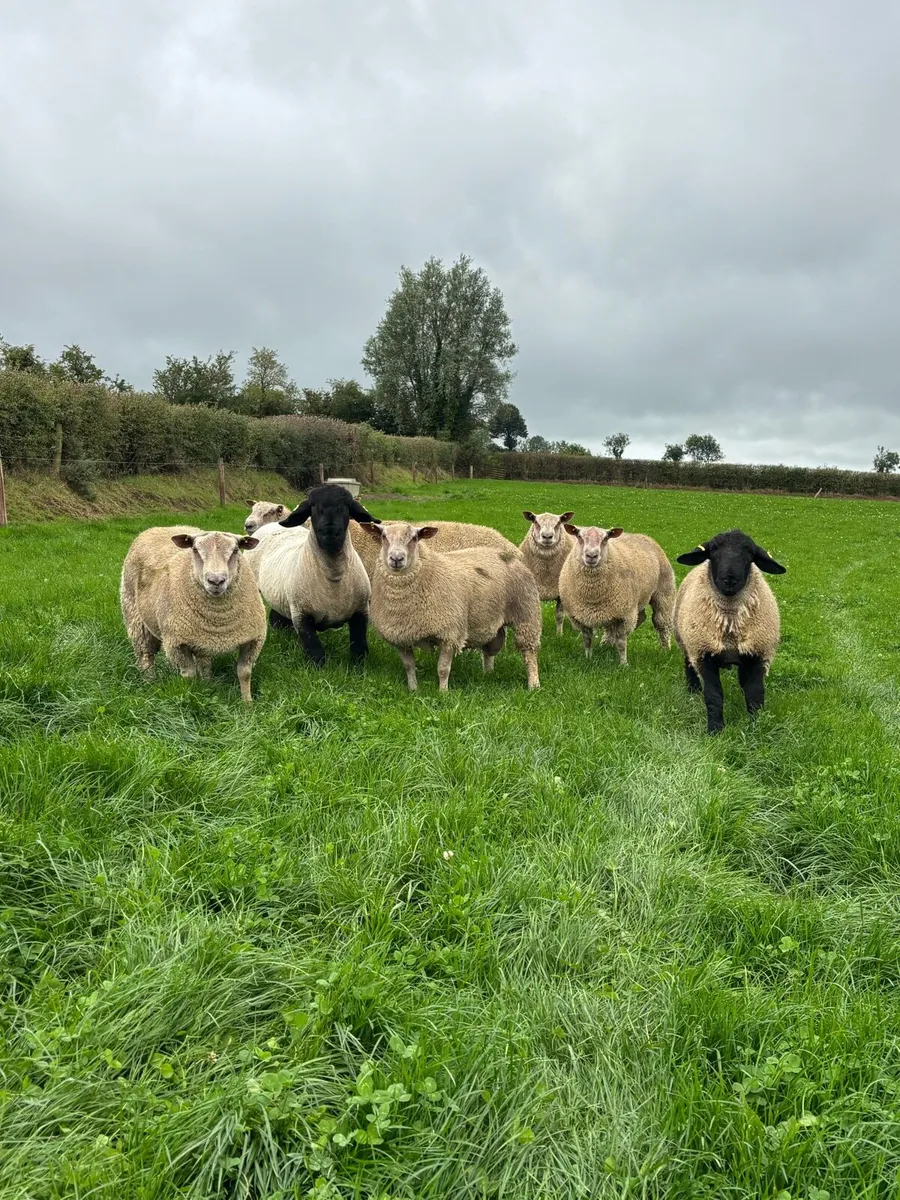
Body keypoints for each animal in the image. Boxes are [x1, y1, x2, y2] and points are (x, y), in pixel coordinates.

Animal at [120, 525, 266, 704]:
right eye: (195, 549)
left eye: (236, 550)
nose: (216, 581)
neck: (219, 621)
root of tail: (156, 528)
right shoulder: (176, 643)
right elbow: (189, 675)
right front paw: (190, 697)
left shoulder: (253, 639)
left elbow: (244, 673)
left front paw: (247, 703)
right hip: (134, 615)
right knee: (145, 654)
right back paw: (149, 682)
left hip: (201, 637)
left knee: (203, 661)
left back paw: (208, 683)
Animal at [253, 484, 381, 666]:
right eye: (312, 507)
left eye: (346, 506)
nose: (330, 532)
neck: (333, 575)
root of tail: (270, 526)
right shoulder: (301, 615)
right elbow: (315, 652)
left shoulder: (361, 611)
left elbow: (359, 647)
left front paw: (358, 668)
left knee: (277, 615)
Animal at [361, 521, 541, 692]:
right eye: (384, 537)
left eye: (414, 538)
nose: (397, 559)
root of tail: (508, 555)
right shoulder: (401, 638)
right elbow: (409, 667)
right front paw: (413, 690)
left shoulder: (449, 633)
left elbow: (443, 669)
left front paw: (443, 692)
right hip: (489, 619)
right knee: (490, 649)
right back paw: (488, 674)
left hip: (526, 613)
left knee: (529, 653)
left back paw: (533, 684)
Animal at [558, 524, 675, 665]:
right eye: (579, 537)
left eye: (605, 538)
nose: (591, 555)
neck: (592, 595)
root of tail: (644, 536)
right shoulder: (580, 617)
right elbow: (587, 640)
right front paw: (588, 658)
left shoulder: (625, 615)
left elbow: (621, 642)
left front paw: (623, 663)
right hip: (628, 604)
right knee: (636, 619)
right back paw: (606, 644)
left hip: (663, 593)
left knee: (662, 622)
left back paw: (665, 650)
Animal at [674, 529, 786, 734]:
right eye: (713, 550)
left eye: (750, 554)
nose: (729, 579)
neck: (730, 626)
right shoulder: (704, 653)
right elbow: (714, 695)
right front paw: (715, 730)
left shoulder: (757, 653)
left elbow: (755, 693)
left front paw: (756, 726)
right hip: (687, 640)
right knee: (688, 663)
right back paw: (693, 689)